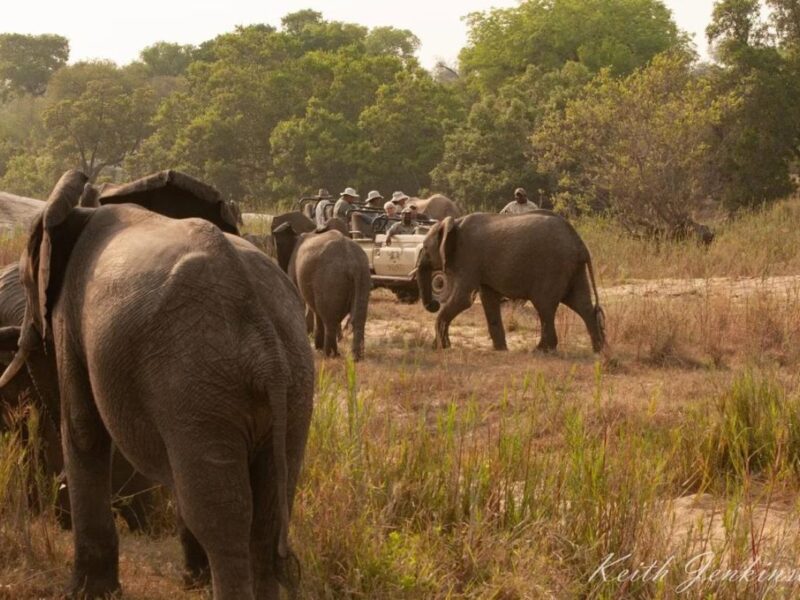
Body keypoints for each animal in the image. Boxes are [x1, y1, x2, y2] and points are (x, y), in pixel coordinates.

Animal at [0, 170, 312, 600]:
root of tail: (264, 338)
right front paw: (192, 579)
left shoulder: (72, 318)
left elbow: (82, 429)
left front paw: (85, 593)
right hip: (288, 383)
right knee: (268, 510)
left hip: (199, 381)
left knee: (223, 516)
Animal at [274, 223, 370, 358]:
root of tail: (352, 263)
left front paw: (317, 347)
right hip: (363, 276)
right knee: (358, 317)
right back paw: (356, 357)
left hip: (330, 278)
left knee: (329, 318)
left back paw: (330, 354)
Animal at [418, 210, 608, 352]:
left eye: (425, 248)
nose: (434, 304)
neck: (455, 222)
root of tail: (579, 242)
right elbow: (488, 299)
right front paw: (500, 350)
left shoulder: (468, 258)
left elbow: (463, 300)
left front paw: (440, 348)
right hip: (574, 268)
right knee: (581, 304)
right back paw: (599, 350)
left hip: (554, 266)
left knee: (545, 306)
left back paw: (540, 350)